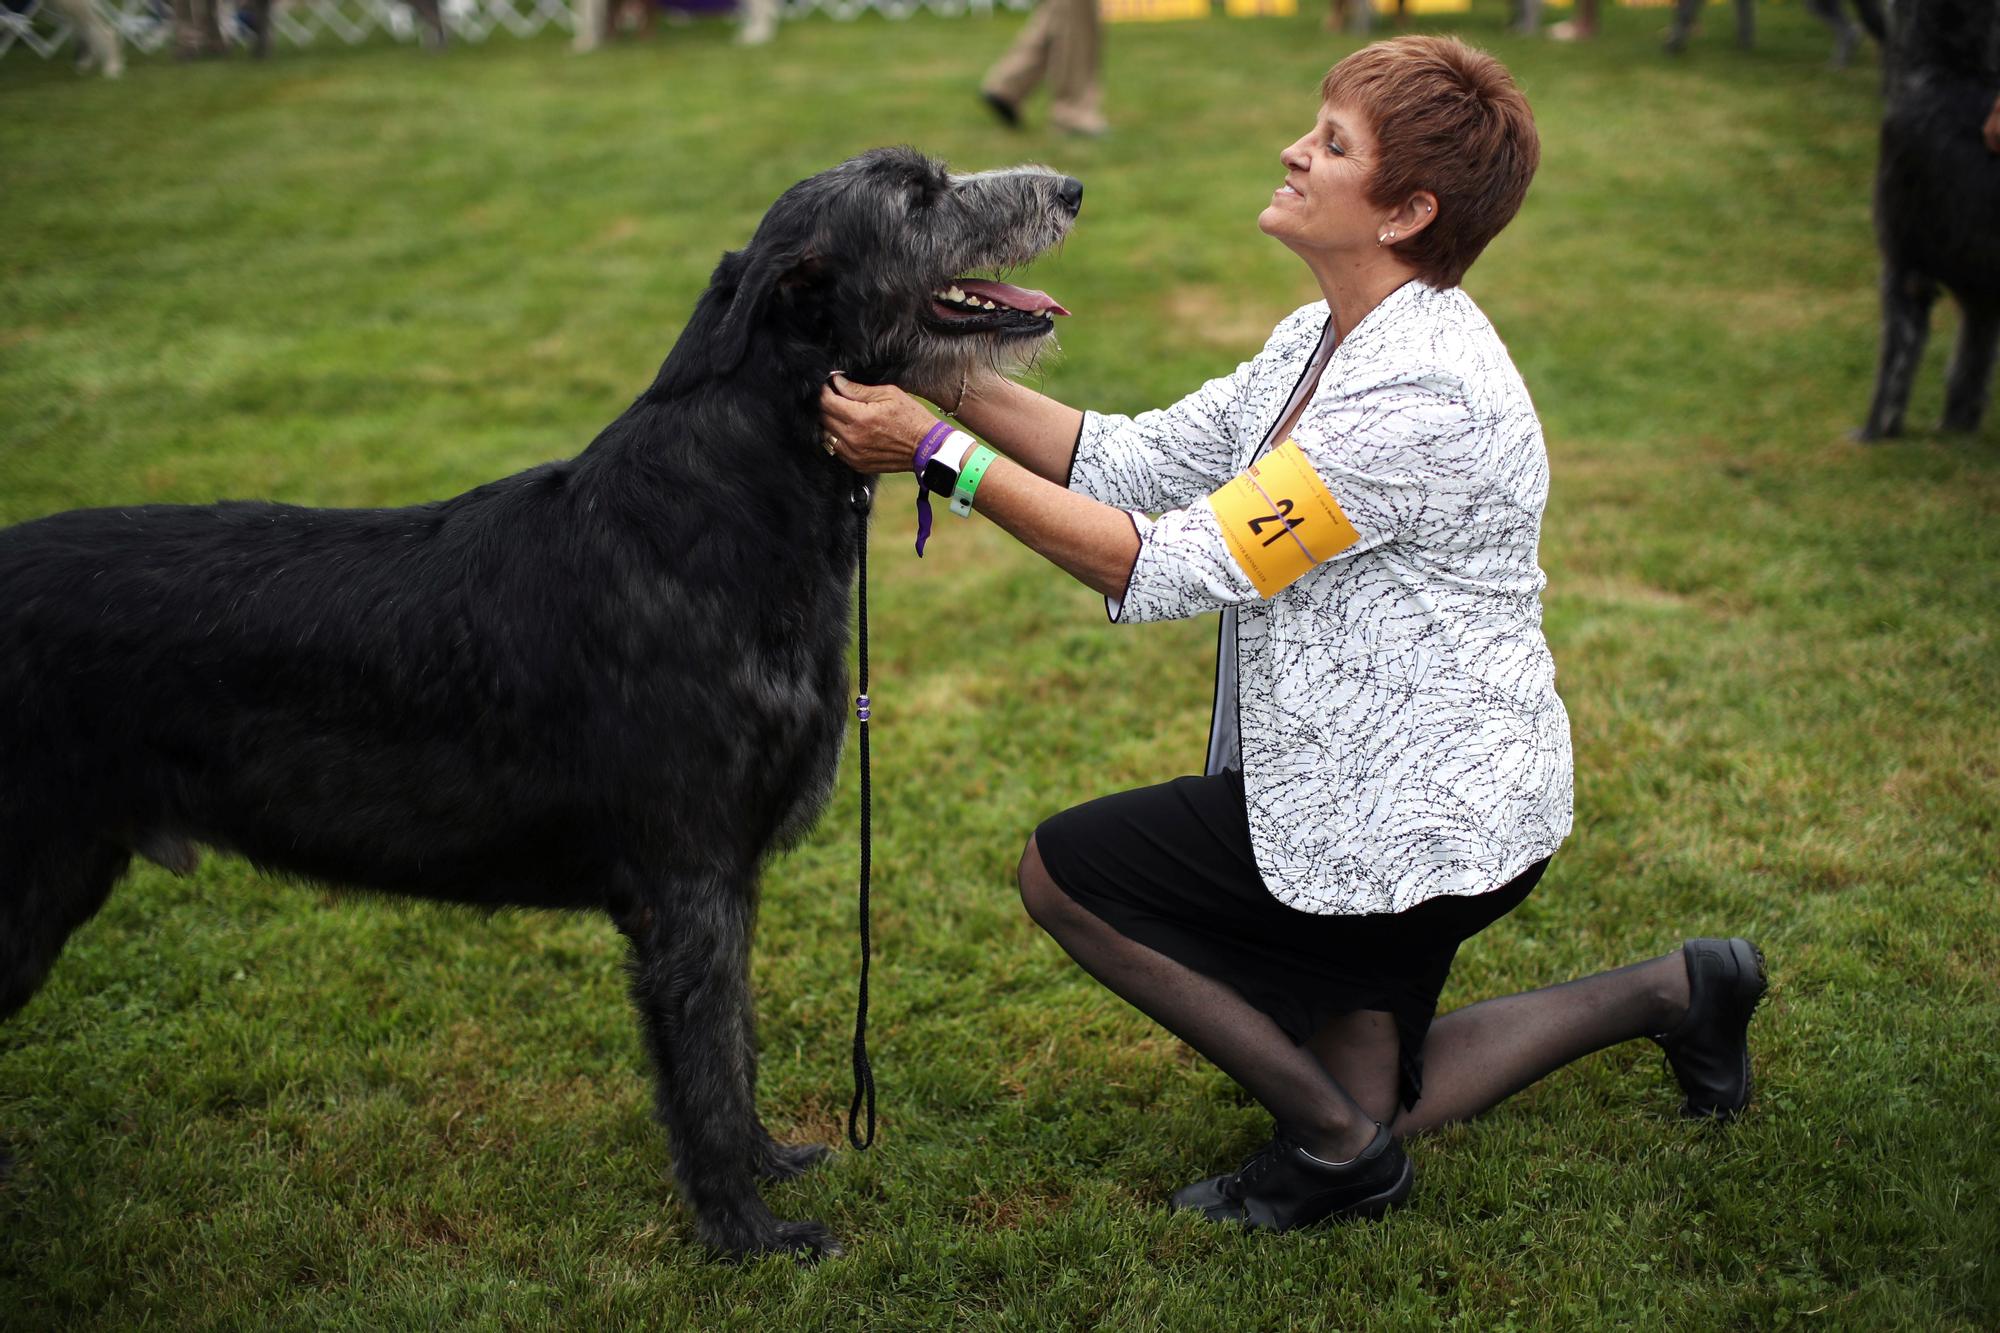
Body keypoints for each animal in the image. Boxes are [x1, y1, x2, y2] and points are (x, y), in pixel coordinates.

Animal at [0, 145, 1088, 1256]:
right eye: (916, 195)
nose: (1070, 189)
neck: (729, 501)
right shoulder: (685, 875)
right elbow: (705, 1062)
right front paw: (747, 1231)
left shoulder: (725, 879)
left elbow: (734, 1041)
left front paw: (765, 1165)